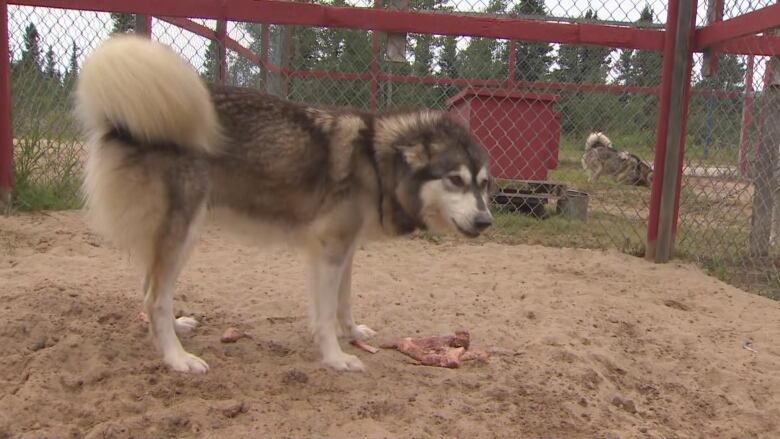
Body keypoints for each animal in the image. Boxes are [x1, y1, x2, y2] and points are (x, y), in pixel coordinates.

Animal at [76, 36, 490, 374]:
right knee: (154, 299)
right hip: (185, 233)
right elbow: (325, 314)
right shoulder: (328, 251)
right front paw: (335, 357)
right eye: (455, 180)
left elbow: (344, 303)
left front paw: (352, 332)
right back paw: (177, 358)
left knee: (150, 290)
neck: (375, 159)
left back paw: (177, 328)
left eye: (484, 185)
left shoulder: (345, 250)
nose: (486, 221)